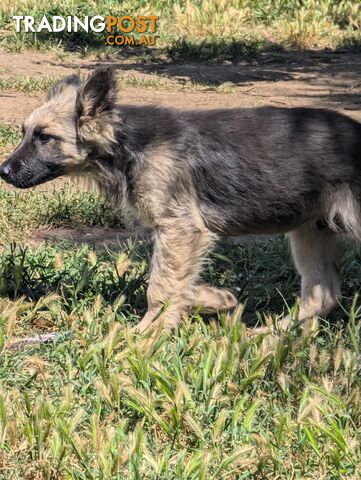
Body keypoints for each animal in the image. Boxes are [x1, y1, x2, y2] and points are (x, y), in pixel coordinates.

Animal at [0, 65, 360, 332]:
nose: (3, 171)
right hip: (312, 229)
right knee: (322, 295)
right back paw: (269, 335)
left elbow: (159, 286)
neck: (127, 145)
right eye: (24, 133)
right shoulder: (180, 235)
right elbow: (174, 282)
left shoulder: (180, 228)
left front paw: (147, 334)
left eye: (45, 137)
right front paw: (214, 298)